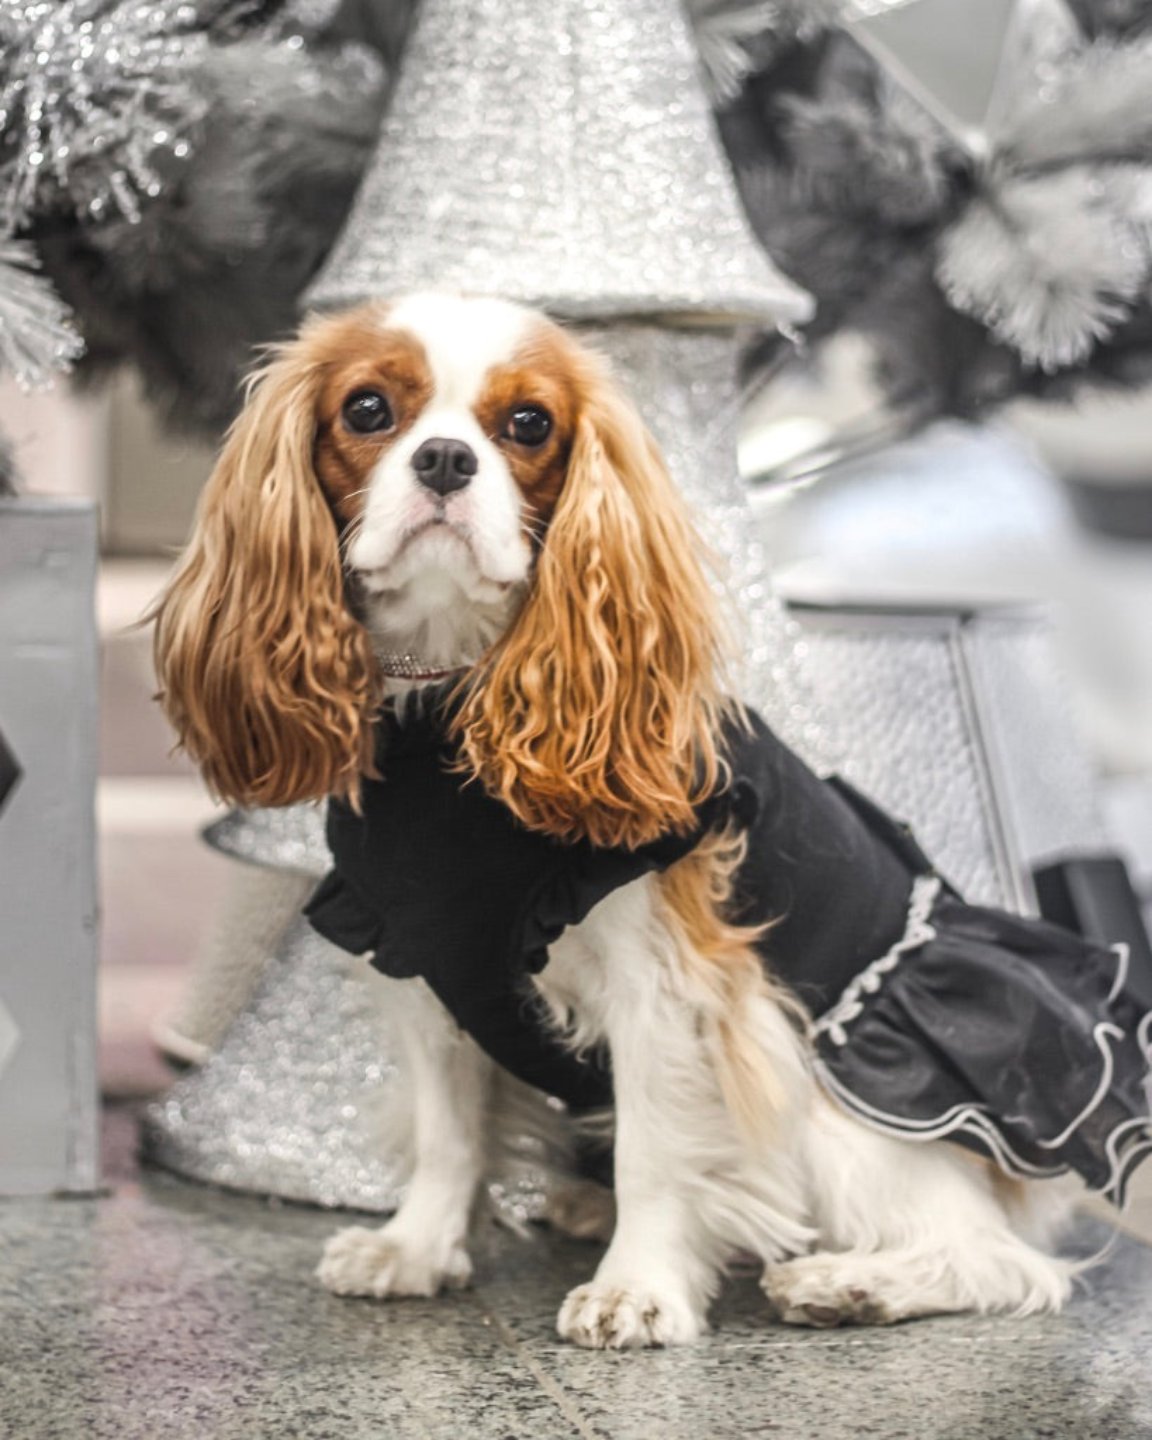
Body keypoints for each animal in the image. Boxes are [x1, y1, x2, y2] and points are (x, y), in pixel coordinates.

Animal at [150, 289, 1123, 1347]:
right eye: (367, 410)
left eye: (528, 424)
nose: (445, 459)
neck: (452, 695)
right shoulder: (428, 960)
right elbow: (450, 1130)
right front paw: (417, 1248)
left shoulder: (669, 984)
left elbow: (658, 1152)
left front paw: (638, 1286)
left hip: (841, 1100)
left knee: (1001, 1259)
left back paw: (851, 1283)